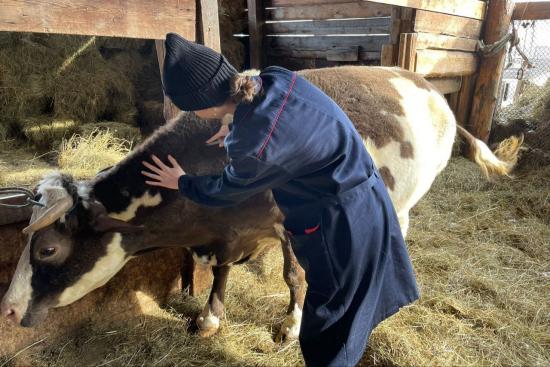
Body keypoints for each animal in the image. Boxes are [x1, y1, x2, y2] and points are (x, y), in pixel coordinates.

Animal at [0, 65, 520, 342]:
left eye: (47, 249)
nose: (7, 310)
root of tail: (432, 87)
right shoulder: (228, 234)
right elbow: (219, 270)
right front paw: (208, 314)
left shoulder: (290, 226)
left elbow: (296, 276)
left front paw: (290, 325)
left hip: (409, 196)